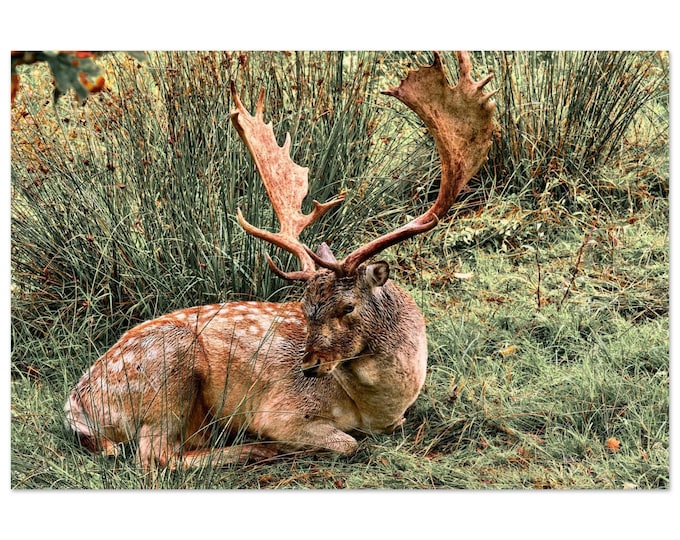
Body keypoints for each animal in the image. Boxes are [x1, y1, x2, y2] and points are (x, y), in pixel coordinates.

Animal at [64, 51, 497, 470]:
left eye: (348, 307)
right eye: (304, 308)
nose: (307, 366)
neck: (381, 407)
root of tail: (77, 407)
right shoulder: (282, 409)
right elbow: (347, 443)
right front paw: (284, 444)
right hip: (166, 375)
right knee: (155, 456)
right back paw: (254, 450)